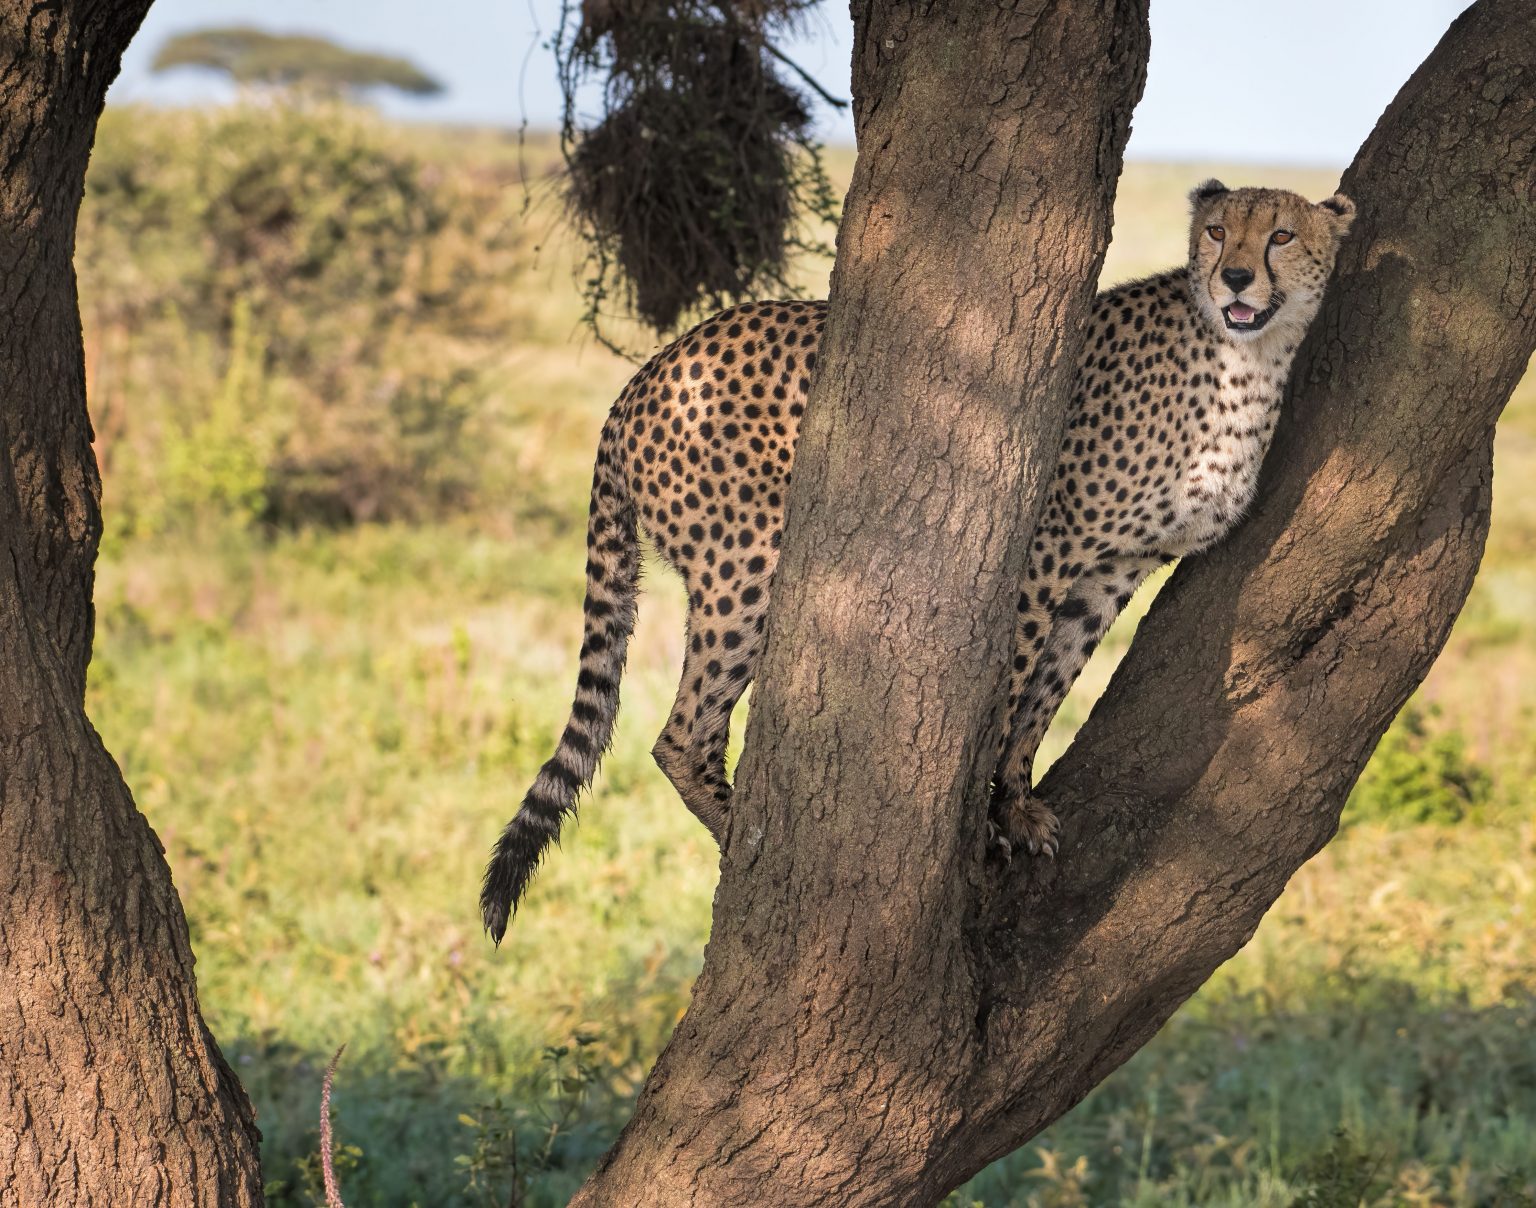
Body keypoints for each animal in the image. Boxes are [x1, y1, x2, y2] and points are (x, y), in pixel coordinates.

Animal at [482, 179, 1357, 934]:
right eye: (1217, 231)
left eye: (1280, 235)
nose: (1234, 274)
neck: (1245, 359)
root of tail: (648, 370)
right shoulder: (1045, 547)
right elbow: (1011, 686)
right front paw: (985, 827)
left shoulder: (1116, 568)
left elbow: (1046, 694)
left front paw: (1016, 804)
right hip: (751, 561)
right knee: (681, 733)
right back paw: (747, 846)